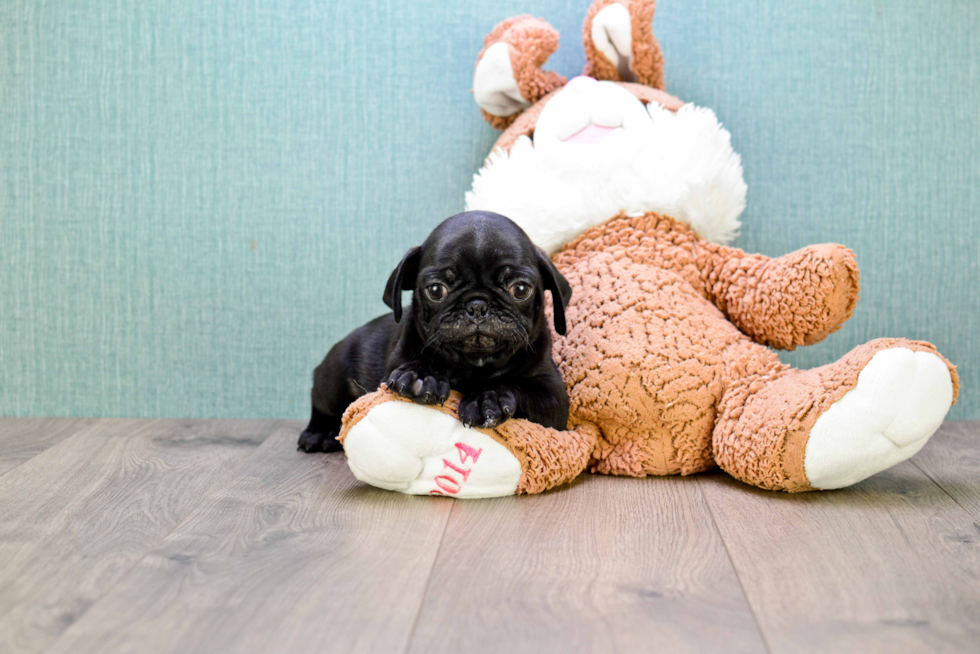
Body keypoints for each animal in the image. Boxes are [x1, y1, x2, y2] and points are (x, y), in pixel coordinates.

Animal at [298, 213, 576, 454]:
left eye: (520, 289)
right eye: (435, 290)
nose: (477, 305)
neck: (473, 366)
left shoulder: (553, 398)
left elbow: (513, 384)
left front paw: (487, 398)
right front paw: (422, 376)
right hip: (334, 378)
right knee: (320, 405)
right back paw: (319, 433)